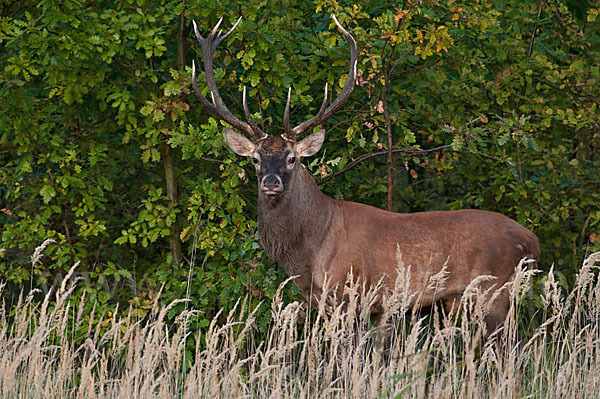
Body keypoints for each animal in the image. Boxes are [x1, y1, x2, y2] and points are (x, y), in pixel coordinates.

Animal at [191, 15, 540, 334]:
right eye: (255, 159)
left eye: (292, 158)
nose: (271, 182)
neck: (307, 253)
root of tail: (532, 242)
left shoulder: (347, 294)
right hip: (464, 301)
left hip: (494, 293)